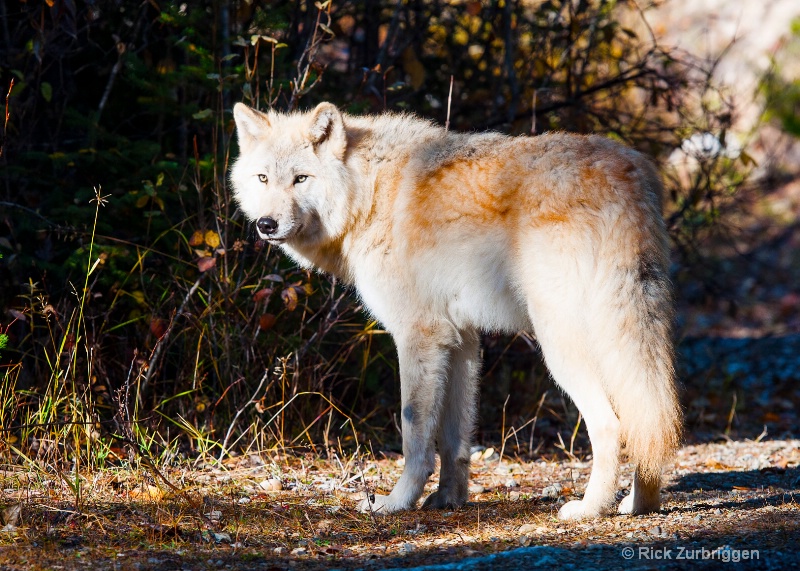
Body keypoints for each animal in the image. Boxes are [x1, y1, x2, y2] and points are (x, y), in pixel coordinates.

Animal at [230, 100, 680, 520]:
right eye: (263, 178)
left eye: (301, 178)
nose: (266, 224)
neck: (369, 194)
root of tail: (631, 173)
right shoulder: (461, 340)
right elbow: (453, 439)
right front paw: (449, 499)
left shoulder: (419, 335)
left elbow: (414, 433)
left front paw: (397, 502)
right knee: (648, 419)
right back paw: (641, 504)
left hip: (561, 347)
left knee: (613, 424)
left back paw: (590, 508)